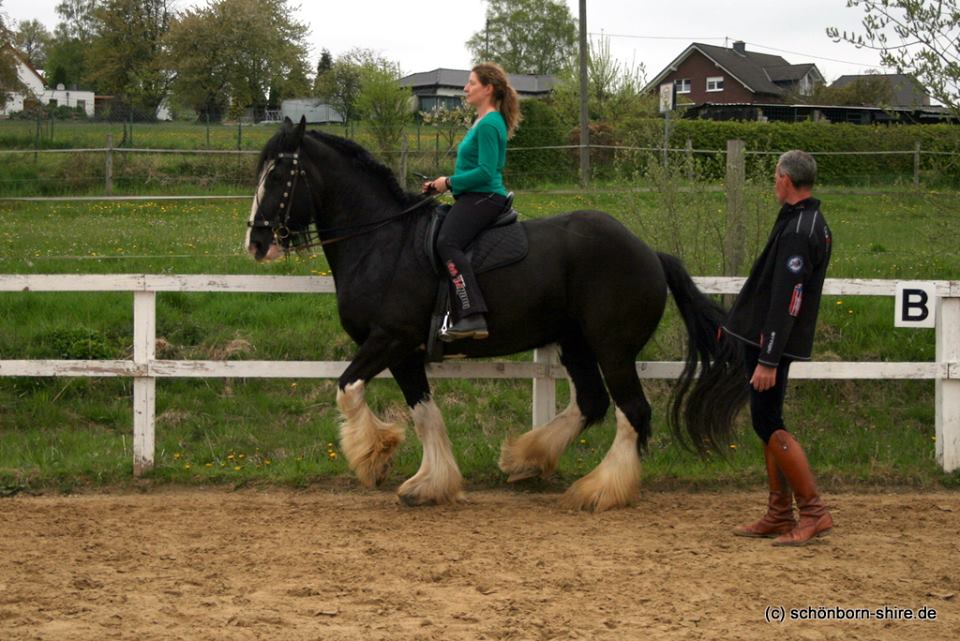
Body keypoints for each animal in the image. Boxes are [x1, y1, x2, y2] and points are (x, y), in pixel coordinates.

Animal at [244, 117, 748, 510]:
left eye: (278, 174)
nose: (256, 242)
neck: (384, 242)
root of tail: (649, 253)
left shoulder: (389, 339)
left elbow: (347, 388)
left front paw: (375, 456)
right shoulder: (404, 353)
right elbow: (424, 413)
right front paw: (429, 483)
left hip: (613, 348)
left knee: (632, 411)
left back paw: (601, 490)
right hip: (575, 343)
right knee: (591, 402)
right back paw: (526, 458)